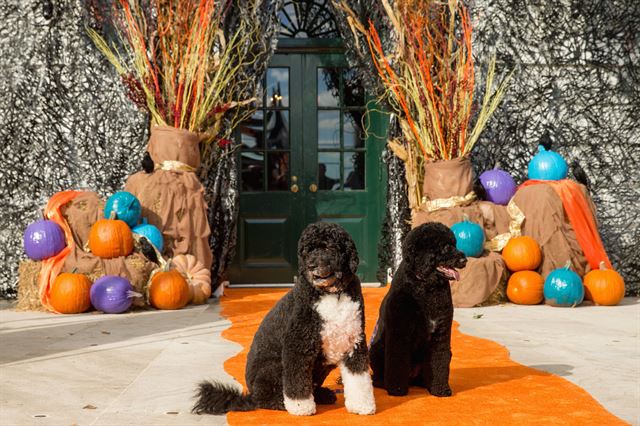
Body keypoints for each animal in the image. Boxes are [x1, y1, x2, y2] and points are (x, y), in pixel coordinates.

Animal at [194, 223, 376, 416]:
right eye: (306, 251)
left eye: (328, 247)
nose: (311, 266)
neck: (333, 294)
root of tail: (249, 395)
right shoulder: (297, 345)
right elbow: (296, 382)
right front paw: (300, 407)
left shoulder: (354, 342)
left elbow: (359, 378)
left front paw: (362, 405)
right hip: (273, 367)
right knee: (265, 398)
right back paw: (282, 402)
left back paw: (322, 395)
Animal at [370, 221, 464, 398]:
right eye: (444, 247)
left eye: (454, 244)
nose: (464, 259)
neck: (426, 287)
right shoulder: (400, 333)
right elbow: (397, 361)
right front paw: (397, 390)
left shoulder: (441, 332)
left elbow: (439, 361)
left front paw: (440, 389)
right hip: (375, 349)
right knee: (377, 376)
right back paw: (383, 383)